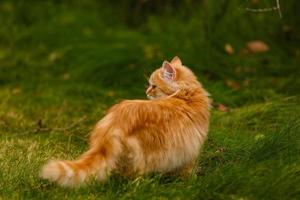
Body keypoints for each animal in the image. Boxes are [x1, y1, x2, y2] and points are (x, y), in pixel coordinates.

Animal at [40, 55, 211, 186]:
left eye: (153, 86)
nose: (147, 91)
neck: (186, 94)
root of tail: (113, 124)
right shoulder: (191, 150)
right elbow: (187, 171)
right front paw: (190, 181)